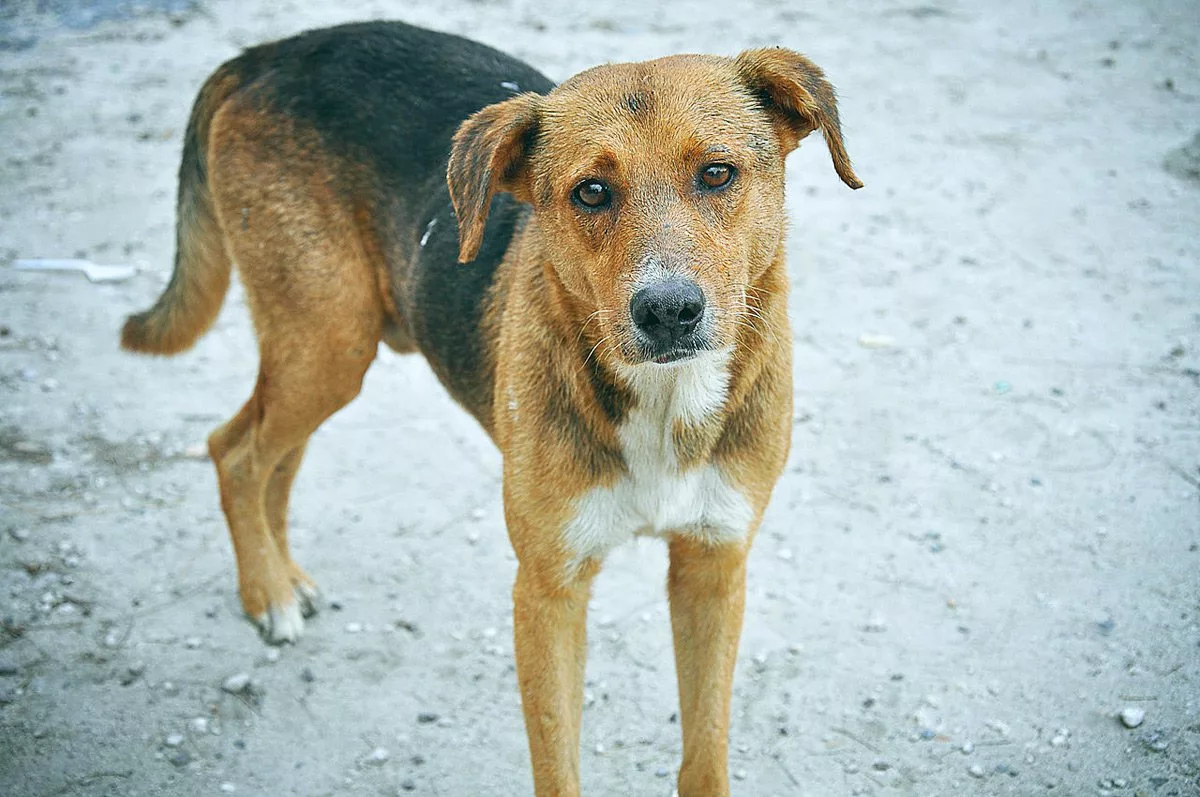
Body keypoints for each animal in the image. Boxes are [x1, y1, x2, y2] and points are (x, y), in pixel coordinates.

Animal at [117, 20, 859, 797]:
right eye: (591, 192)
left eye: (716, 173)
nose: (668, 312)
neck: (664, 401)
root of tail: (270, 52)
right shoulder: (547, 590)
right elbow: (558, 765)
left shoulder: (713, 568)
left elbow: (705, 754)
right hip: (326, 342)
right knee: (234, 450)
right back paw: (267, 593)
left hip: (324, 353)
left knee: (272, 458)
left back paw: (282, 577)